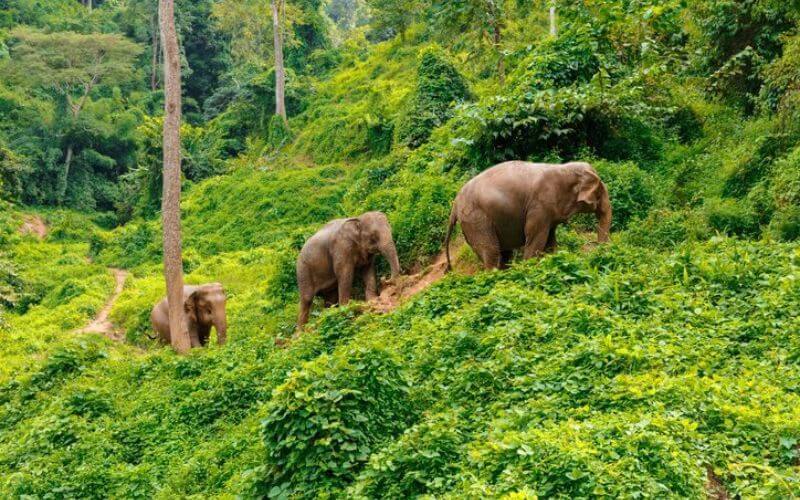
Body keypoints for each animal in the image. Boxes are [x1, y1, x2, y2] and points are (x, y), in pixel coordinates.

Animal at [444, 161, 612, 270]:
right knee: (491, 251)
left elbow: (550, 239)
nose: (597, 253)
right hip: (476, 219)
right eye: (600, 192)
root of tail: (455, 205)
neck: (564, 168)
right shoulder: (540, 205)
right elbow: (536, 237)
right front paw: (529, 268)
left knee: (502, 253)